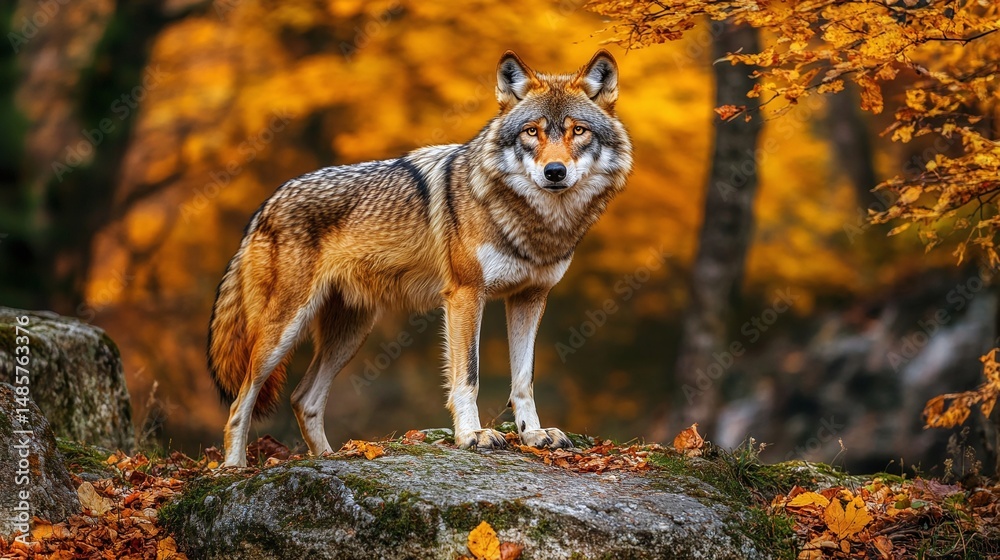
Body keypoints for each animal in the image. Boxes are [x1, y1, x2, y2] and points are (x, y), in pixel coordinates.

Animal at [208, 50, 633, 467]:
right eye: (532, 132)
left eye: (579, 131)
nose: (554, 171)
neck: (537, 223)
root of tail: (266, 204)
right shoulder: (465, 295)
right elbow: (468, 375)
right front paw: (472, 436)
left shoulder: (530, 297)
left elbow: (523, 380)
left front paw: (533, 434)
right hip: (283, 331)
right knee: (240, 403)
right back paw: (233, 469)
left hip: (351, 333)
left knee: (303, 398)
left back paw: (329, 458)